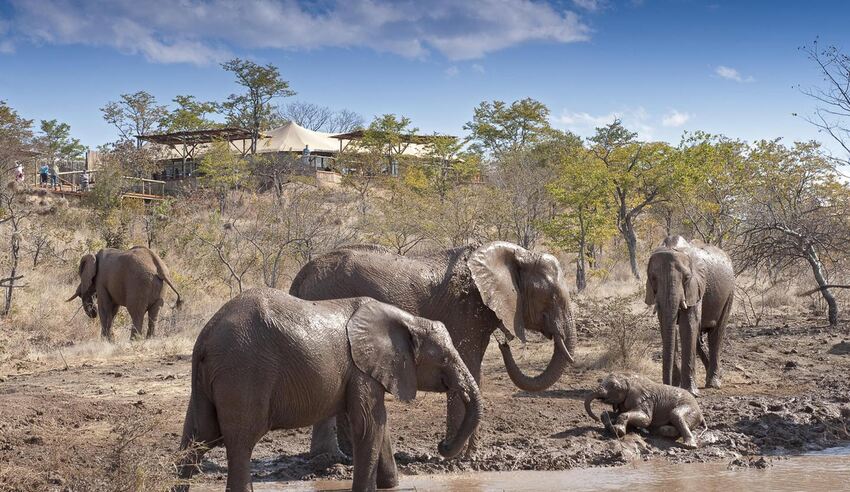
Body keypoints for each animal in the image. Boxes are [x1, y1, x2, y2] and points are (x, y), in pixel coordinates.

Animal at [174, 288, 481, 492]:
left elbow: (380, 424)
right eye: (444, 358)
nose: (442, 446)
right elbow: (369, 424)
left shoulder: (366, 370)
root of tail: (205, 337)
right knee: (240, 442)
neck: (409, 320)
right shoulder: (361, 369)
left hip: (209, 380)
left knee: (198, 437)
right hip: (243, 371)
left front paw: (391, 486)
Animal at [289, 241, 577, 458]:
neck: (514, 253)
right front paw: (459, 459)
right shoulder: (464, 311)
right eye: (552, 297)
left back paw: (341, 459)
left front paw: (469, 456)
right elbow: (467, 365)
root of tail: (300, 277)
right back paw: (332, 461)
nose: (504, 342)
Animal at [644, 236, 735, 395]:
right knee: (699, 339)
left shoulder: (696, 285)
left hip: (729, 292)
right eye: (653, 278)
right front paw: (675, 386)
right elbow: (666, 324)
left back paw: (714, 383)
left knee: (717, 333)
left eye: (686, 277)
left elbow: (688, 324)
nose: (666, 386)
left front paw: (691, 392)